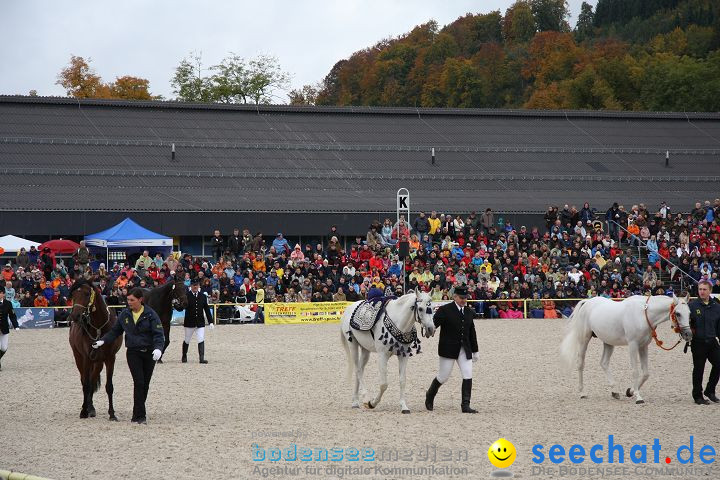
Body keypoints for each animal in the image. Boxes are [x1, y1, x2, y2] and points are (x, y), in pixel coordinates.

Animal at [68, 280, 121, 418]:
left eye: (87, 294)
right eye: (73, 294)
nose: (75, 316)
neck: (99, 328)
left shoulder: (110, 358)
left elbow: (109, 386)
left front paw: (112, 414)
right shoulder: (86, 358)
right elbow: (85, 385)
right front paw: (83, 412)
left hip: (98, 362)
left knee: (92, 381)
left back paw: (91, 407)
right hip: (79, 357)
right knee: (84, 381)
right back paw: (86, 407)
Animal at [556, 294, 692, 404]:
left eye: (690, 313)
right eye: (678, 313)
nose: (688, 335)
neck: (643, 314)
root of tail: (587, 302)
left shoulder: (643, 346)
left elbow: (646, 373)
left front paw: (630, 391)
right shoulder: (633, 345)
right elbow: (635, 371)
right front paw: (638, 397)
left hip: (608, 342)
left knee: (604, 363)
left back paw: (615, 391)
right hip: (584, 340)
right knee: (581, 364)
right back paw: (582, 392)